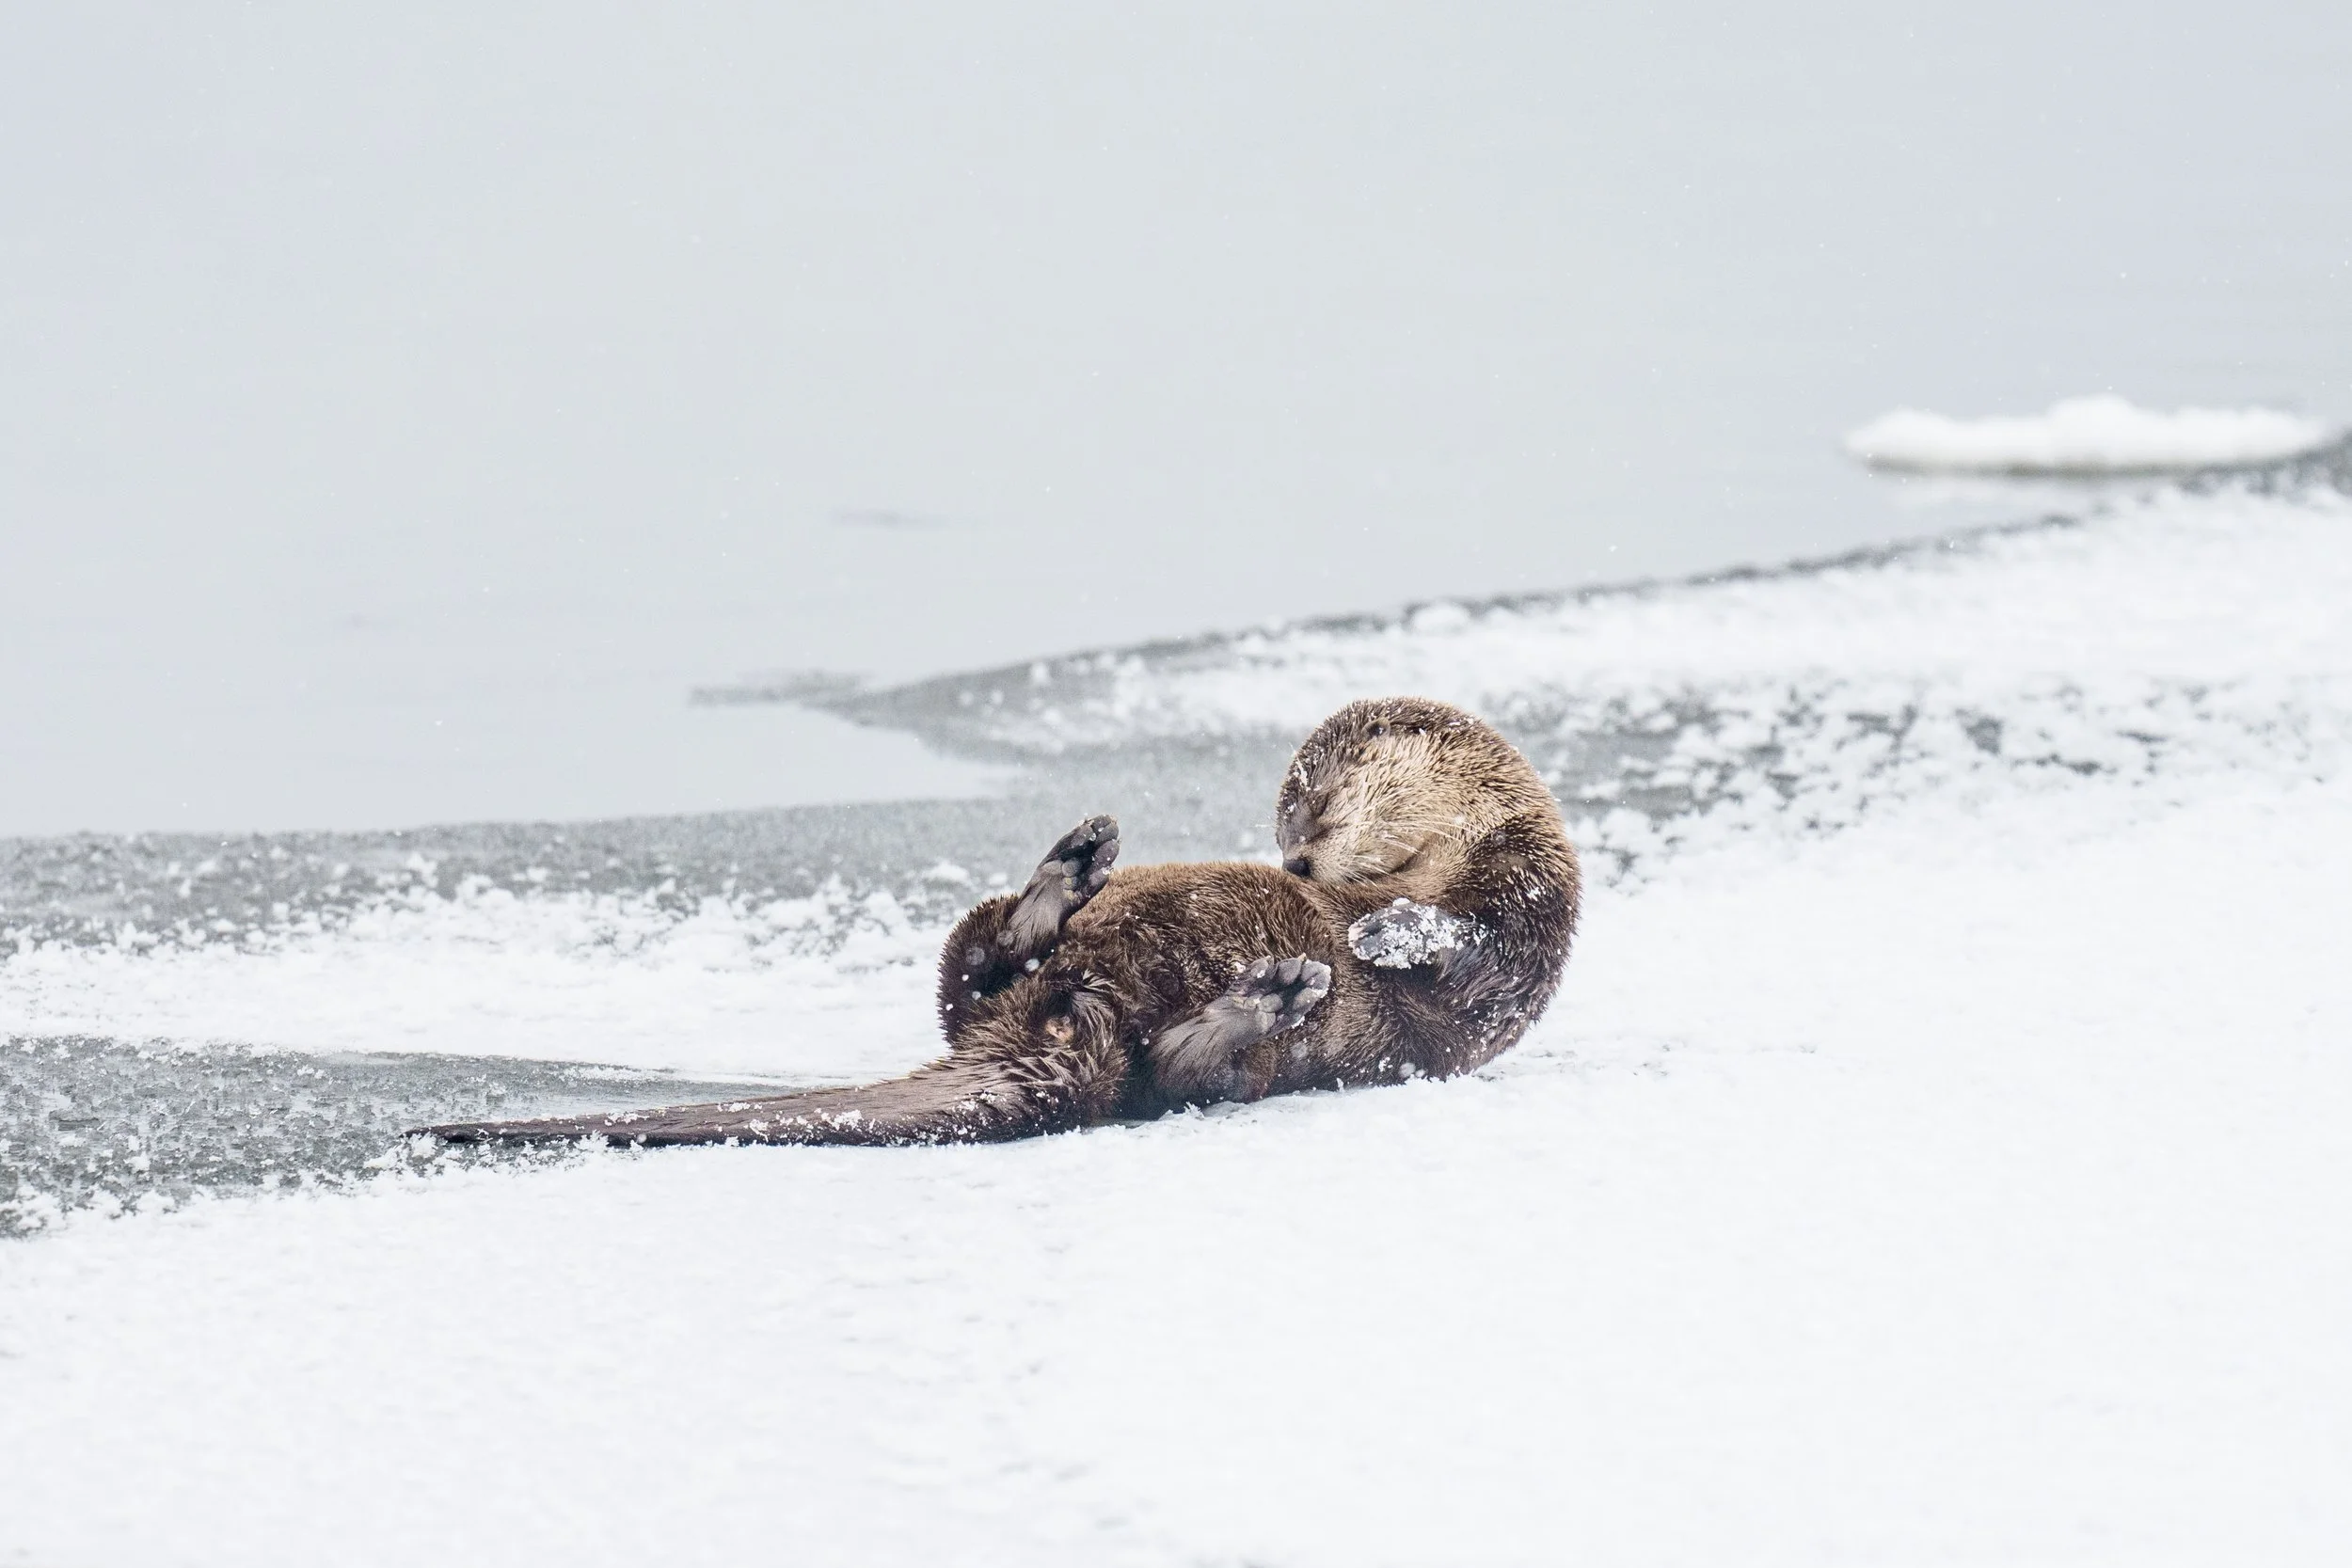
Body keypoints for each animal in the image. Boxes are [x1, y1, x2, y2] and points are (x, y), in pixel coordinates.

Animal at [419, 697, 1579, 1147]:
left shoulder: (1531, 899)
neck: (1474, 836)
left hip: (1233, 1066)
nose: (1294, 865)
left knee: (1169, 1072)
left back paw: (1281, 989)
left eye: (1316, 813)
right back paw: (1070, 873)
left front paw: (1386, 935)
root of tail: (1060, 1031)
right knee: (976, 964)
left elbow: (1481, 959)